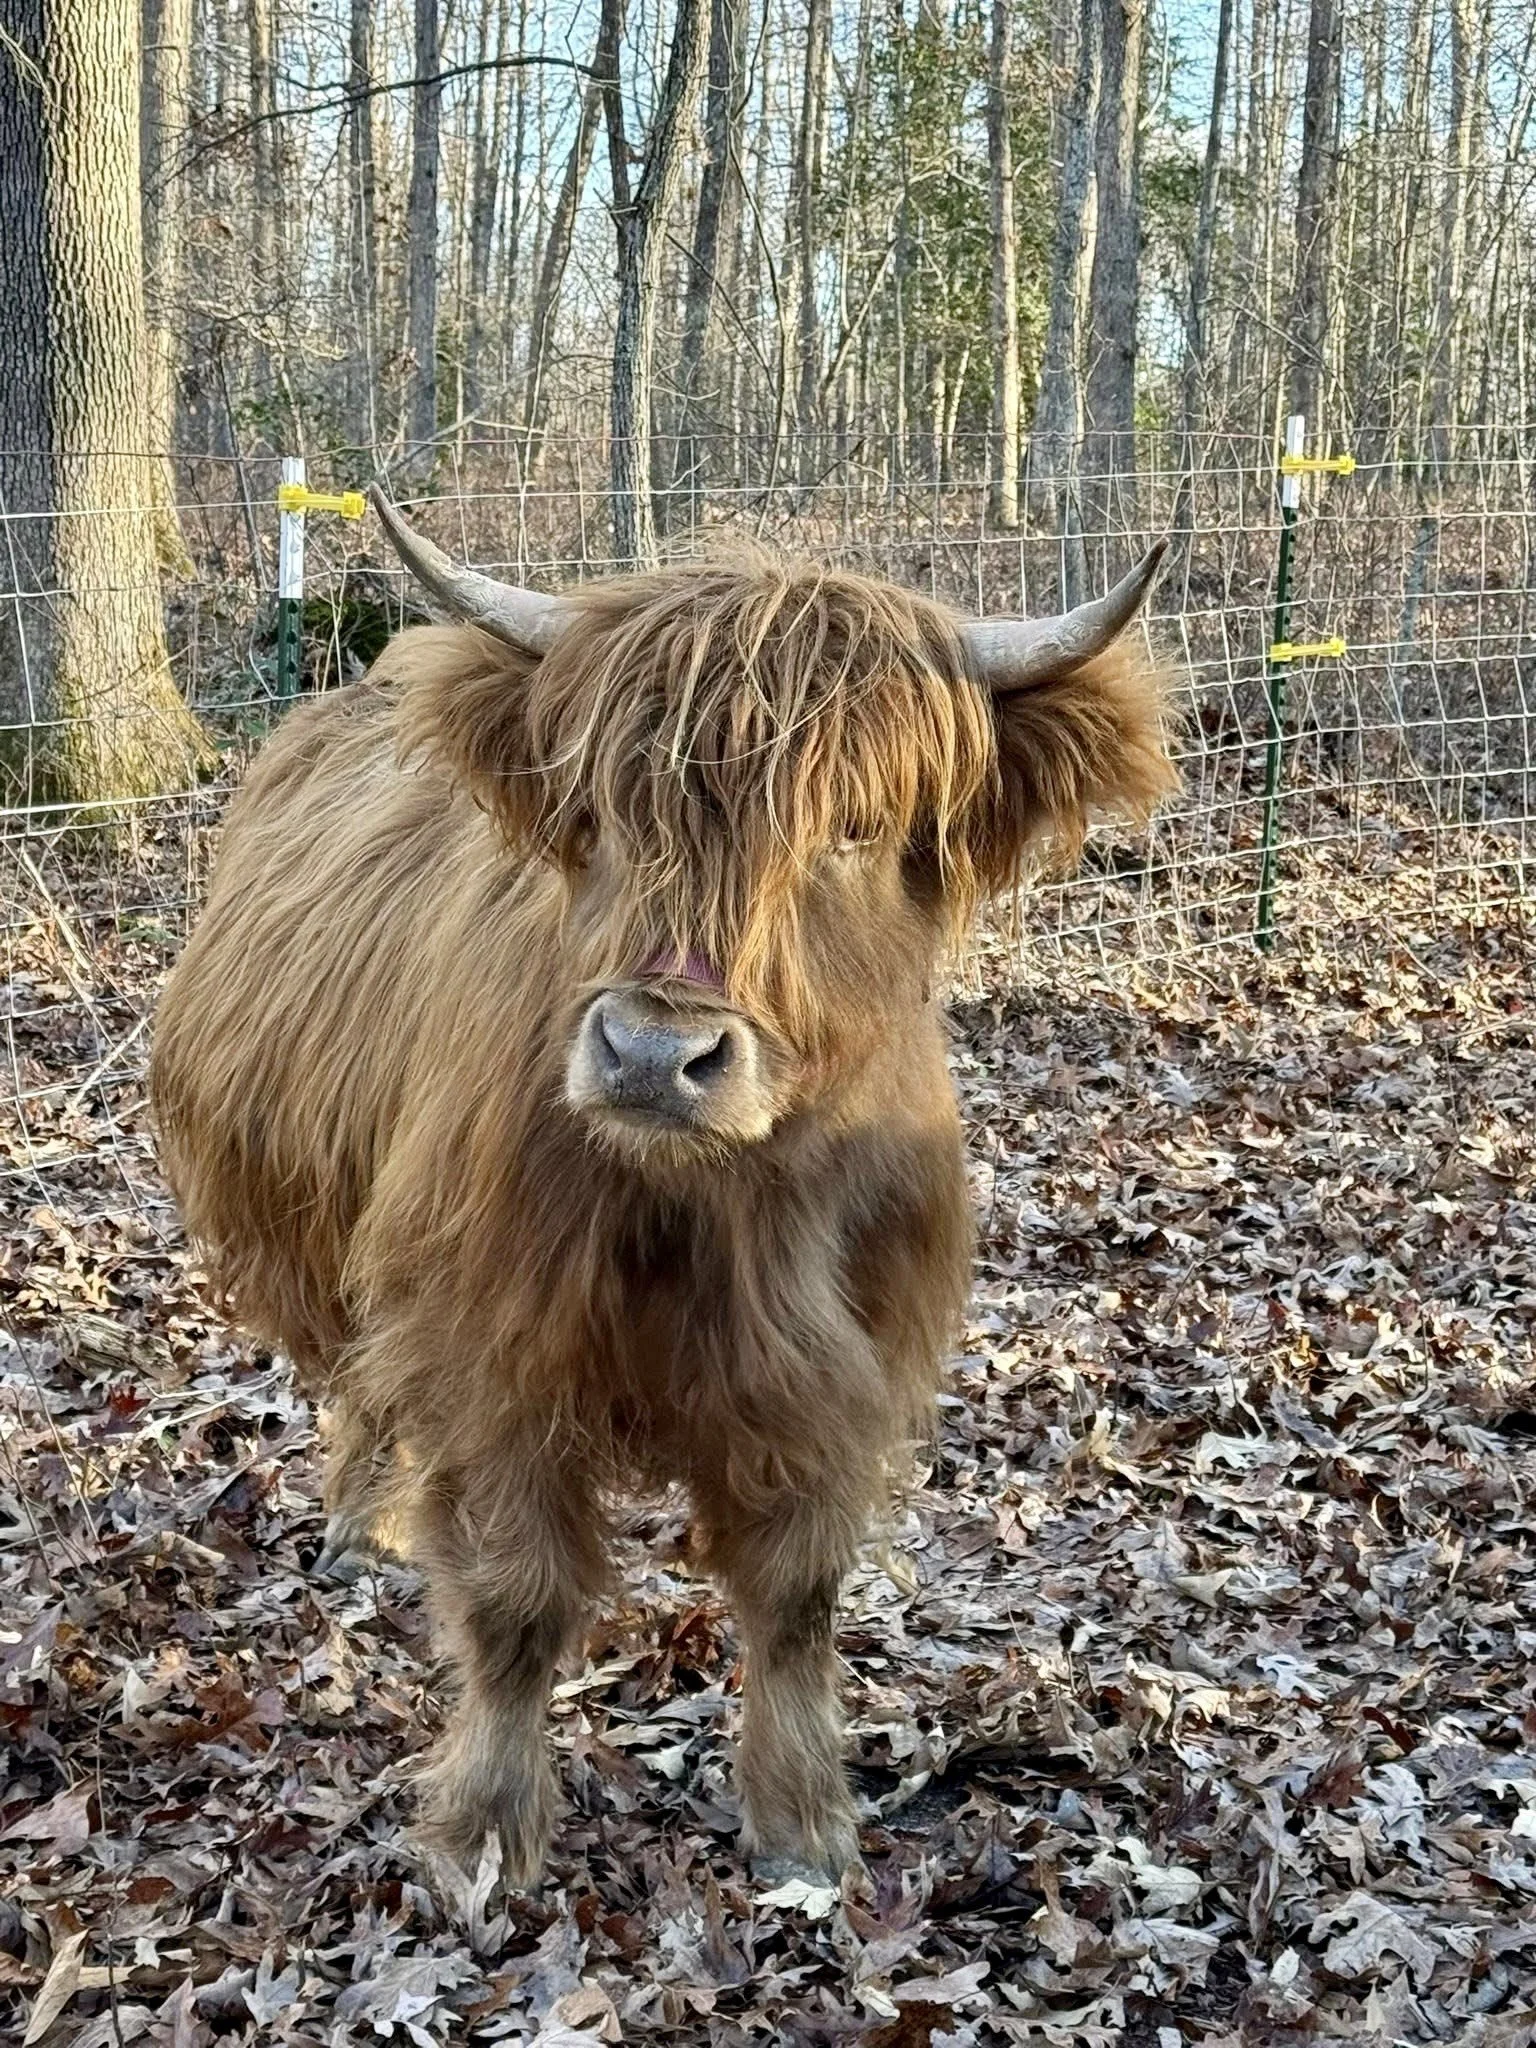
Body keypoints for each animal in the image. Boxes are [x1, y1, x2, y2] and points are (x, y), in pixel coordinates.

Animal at [150, 499, 1173, 1886]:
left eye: (853, 828)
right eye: (604, 811)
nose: (650, 1052)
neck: (718, 1210)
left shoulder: (836, 1361)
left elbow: (796, 1595)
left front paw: (803, 1824)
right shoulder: (493, 1340)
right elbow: (516, 1596)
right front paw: (484, 1832)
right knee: (361, 1376)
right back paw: (366, 1527)